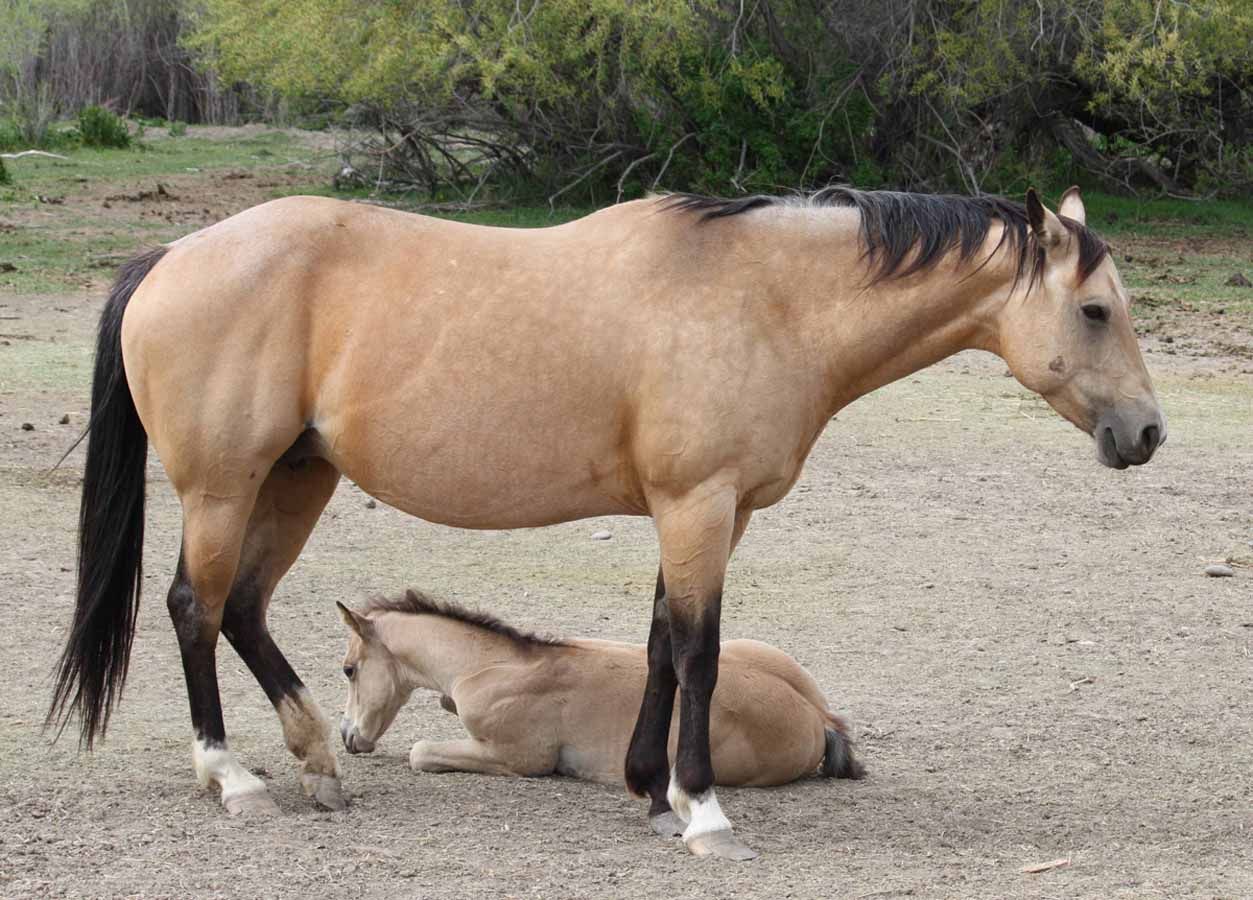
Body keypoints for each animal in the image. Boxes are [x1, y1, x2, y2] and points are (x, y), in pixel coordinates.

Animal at [335, 590, 863, 820]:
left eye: (348, 669)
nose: (346, 735)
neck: (492, 665)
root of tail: (816, 717)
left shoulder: (517, 758)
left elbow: (420, 751)